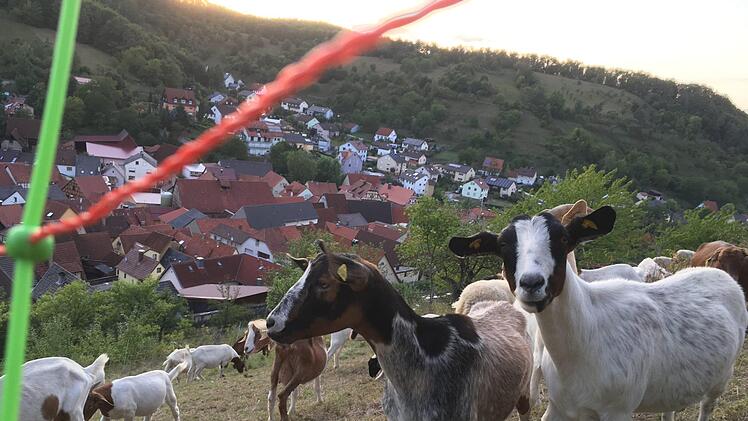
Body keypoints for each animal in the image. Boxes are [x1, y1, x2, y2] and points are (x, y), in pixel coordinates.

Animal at [450, 206, 748, 420]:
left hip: (721, 378)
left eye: (563, 239)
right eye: (503, 245)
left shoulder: (617, 410)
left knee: (707, 407)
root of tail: (719, 274)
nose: (532, 283)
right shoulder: (559, 407)